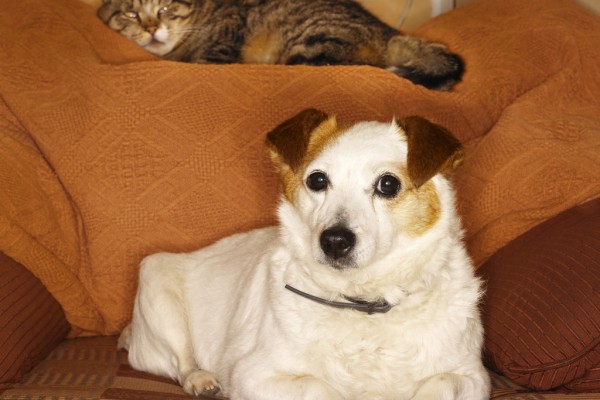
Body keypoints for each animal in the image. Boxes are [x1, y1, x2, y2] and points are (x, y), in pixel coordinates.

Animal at [119, 108, 490, 398]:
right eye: (317, 181)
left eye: (388, 184)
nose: (335, 241)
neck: (362, 302)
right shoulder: (253, 374)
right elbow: (319, 387)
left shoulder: (474, 377)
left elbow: (440, 384)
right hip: (157, 286)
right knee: (181, 361)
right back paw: (199, 378)